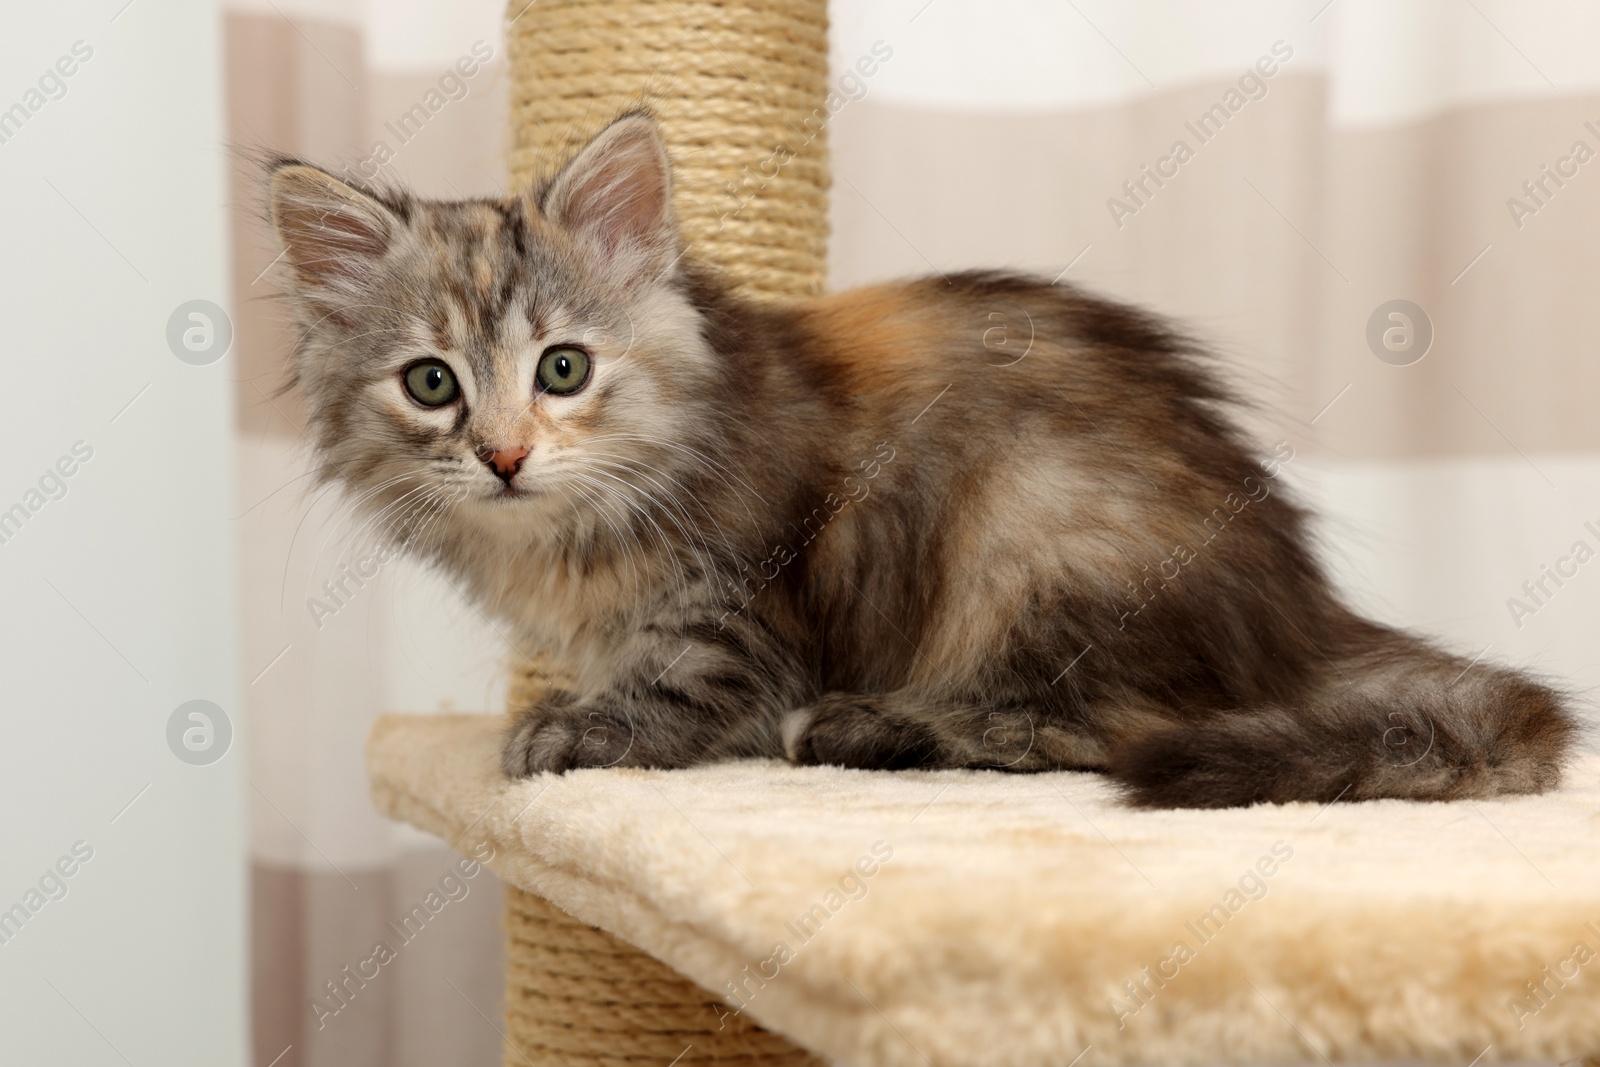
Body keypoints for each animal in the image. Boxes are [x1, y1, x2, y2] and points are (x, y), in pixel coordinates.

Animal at [265, 112, 1574, 809]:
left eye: (563, 368)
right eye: (431, 384)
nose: (502, 454)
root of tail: (1304, 614)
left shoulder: (743, 604)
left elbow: (672, 689)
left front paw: (569, 729)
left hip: (1033, 538)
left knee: (1104, 726)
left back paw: (868, 728)